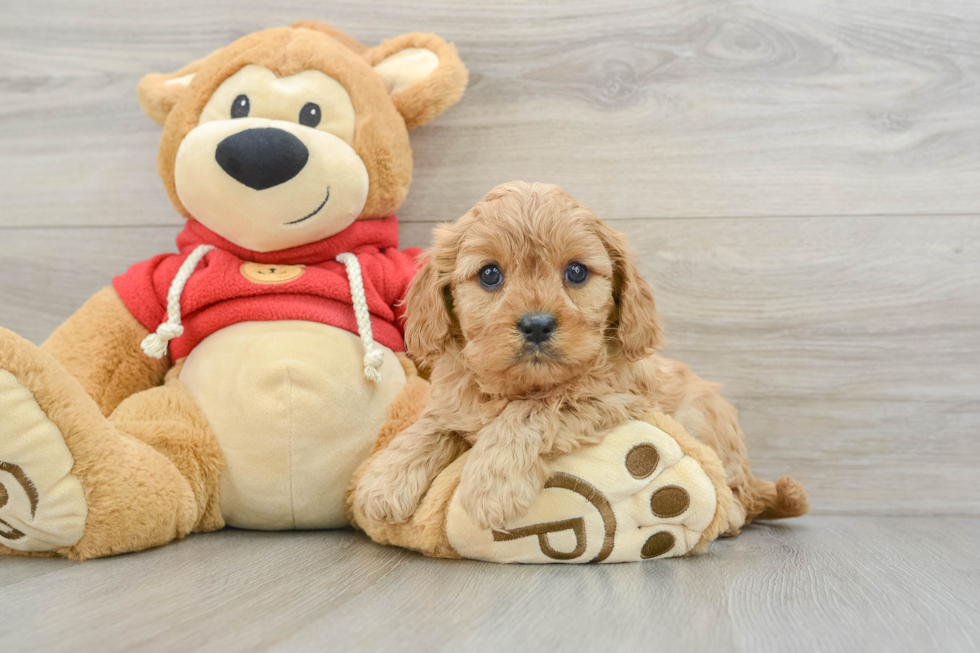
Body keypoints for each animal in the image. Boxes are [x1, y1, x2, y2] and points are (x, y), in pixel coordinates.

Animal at [356, 181, 808, 532]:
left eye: (576, 272)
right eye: (489, 274)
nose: (537, 324)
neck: (519, 385)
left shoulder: (610, 397)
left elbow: (532, 410)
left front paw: (492, 485)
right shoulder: (456, 400)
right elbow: (430, 425)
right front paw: (382, 482)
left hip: (706, 421)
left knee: (740, 493)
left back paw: (729, 513)